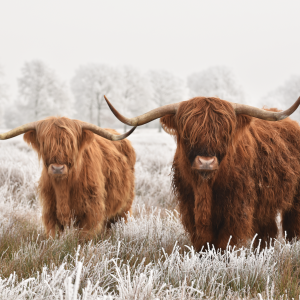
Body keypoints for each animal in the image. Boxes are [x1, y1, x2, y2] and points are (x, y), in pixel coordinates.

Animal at [0, 116, 136, 237]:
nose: (57, 168)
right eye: (45, 143)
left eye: (71, 144)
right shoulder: (50, 212)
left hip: (125, 207)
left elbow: (84, 238)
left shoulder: (91, 213)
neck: (63, 187)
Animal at [104, 95, 300, 251]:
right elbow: (203, 243)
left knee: (291, 228)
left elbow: (225, 243)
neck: (205, 187)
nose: (206, 162)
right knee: (268, 231)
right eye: (187, 134)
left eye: (225, 134)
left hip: (294, 200)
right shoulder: (189, 207)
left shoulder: (236, 210)